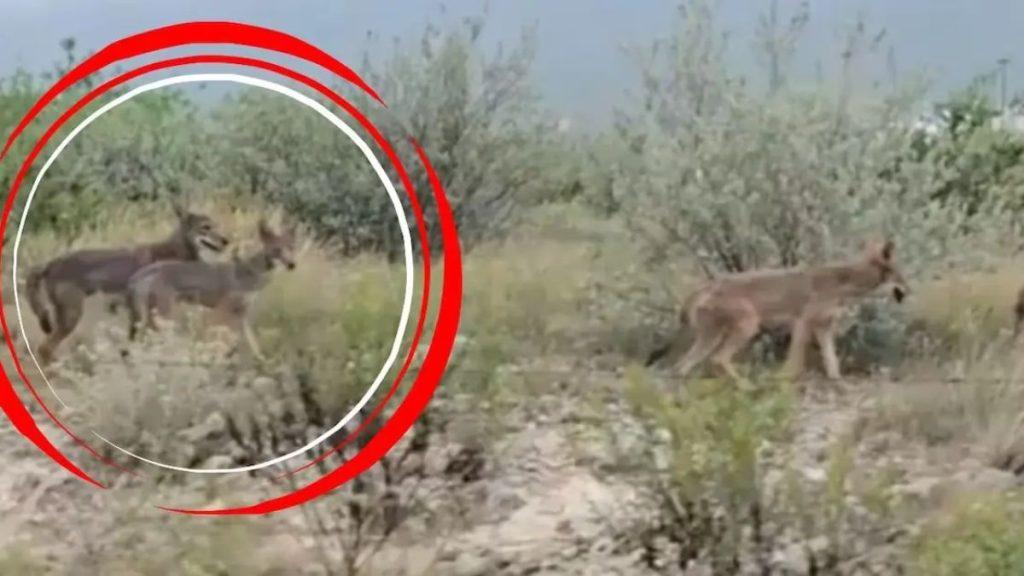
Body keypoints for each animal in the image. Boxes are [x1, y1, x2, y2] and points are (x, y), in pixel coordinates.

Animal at [25, 203, 229, 364]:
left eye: (217, 225)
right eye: (205, 227)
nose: (226, 240)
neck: (175, 252)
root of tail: (51, 263)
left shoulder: (138, 315)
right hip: (71, 318)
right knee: (44, 349)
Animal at [125, 218, 297, 361]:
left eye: (291, 248)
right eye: (277, 250)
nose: (292, 265)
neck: (251, 273)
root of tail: (141, 273)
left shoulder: (243, 316)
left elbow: (252, 343)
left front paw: (262, 361)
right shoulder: (223, 310)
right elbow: (222, 338)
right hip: (164, 315)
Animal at [646, 239, 910, 382]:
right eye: (902, 276)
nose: (910, 289)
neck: (843, 283)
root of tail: (706, 285)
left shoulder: (824, 327)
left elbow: (831, 360)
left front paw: (836, 380)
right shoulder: (803, 322)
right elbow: (796, 360)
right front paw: (784, 378)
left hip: (711, 338)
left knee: (682, 367)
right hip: (747, 327)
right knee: (717, 360)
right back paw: (745, 386)